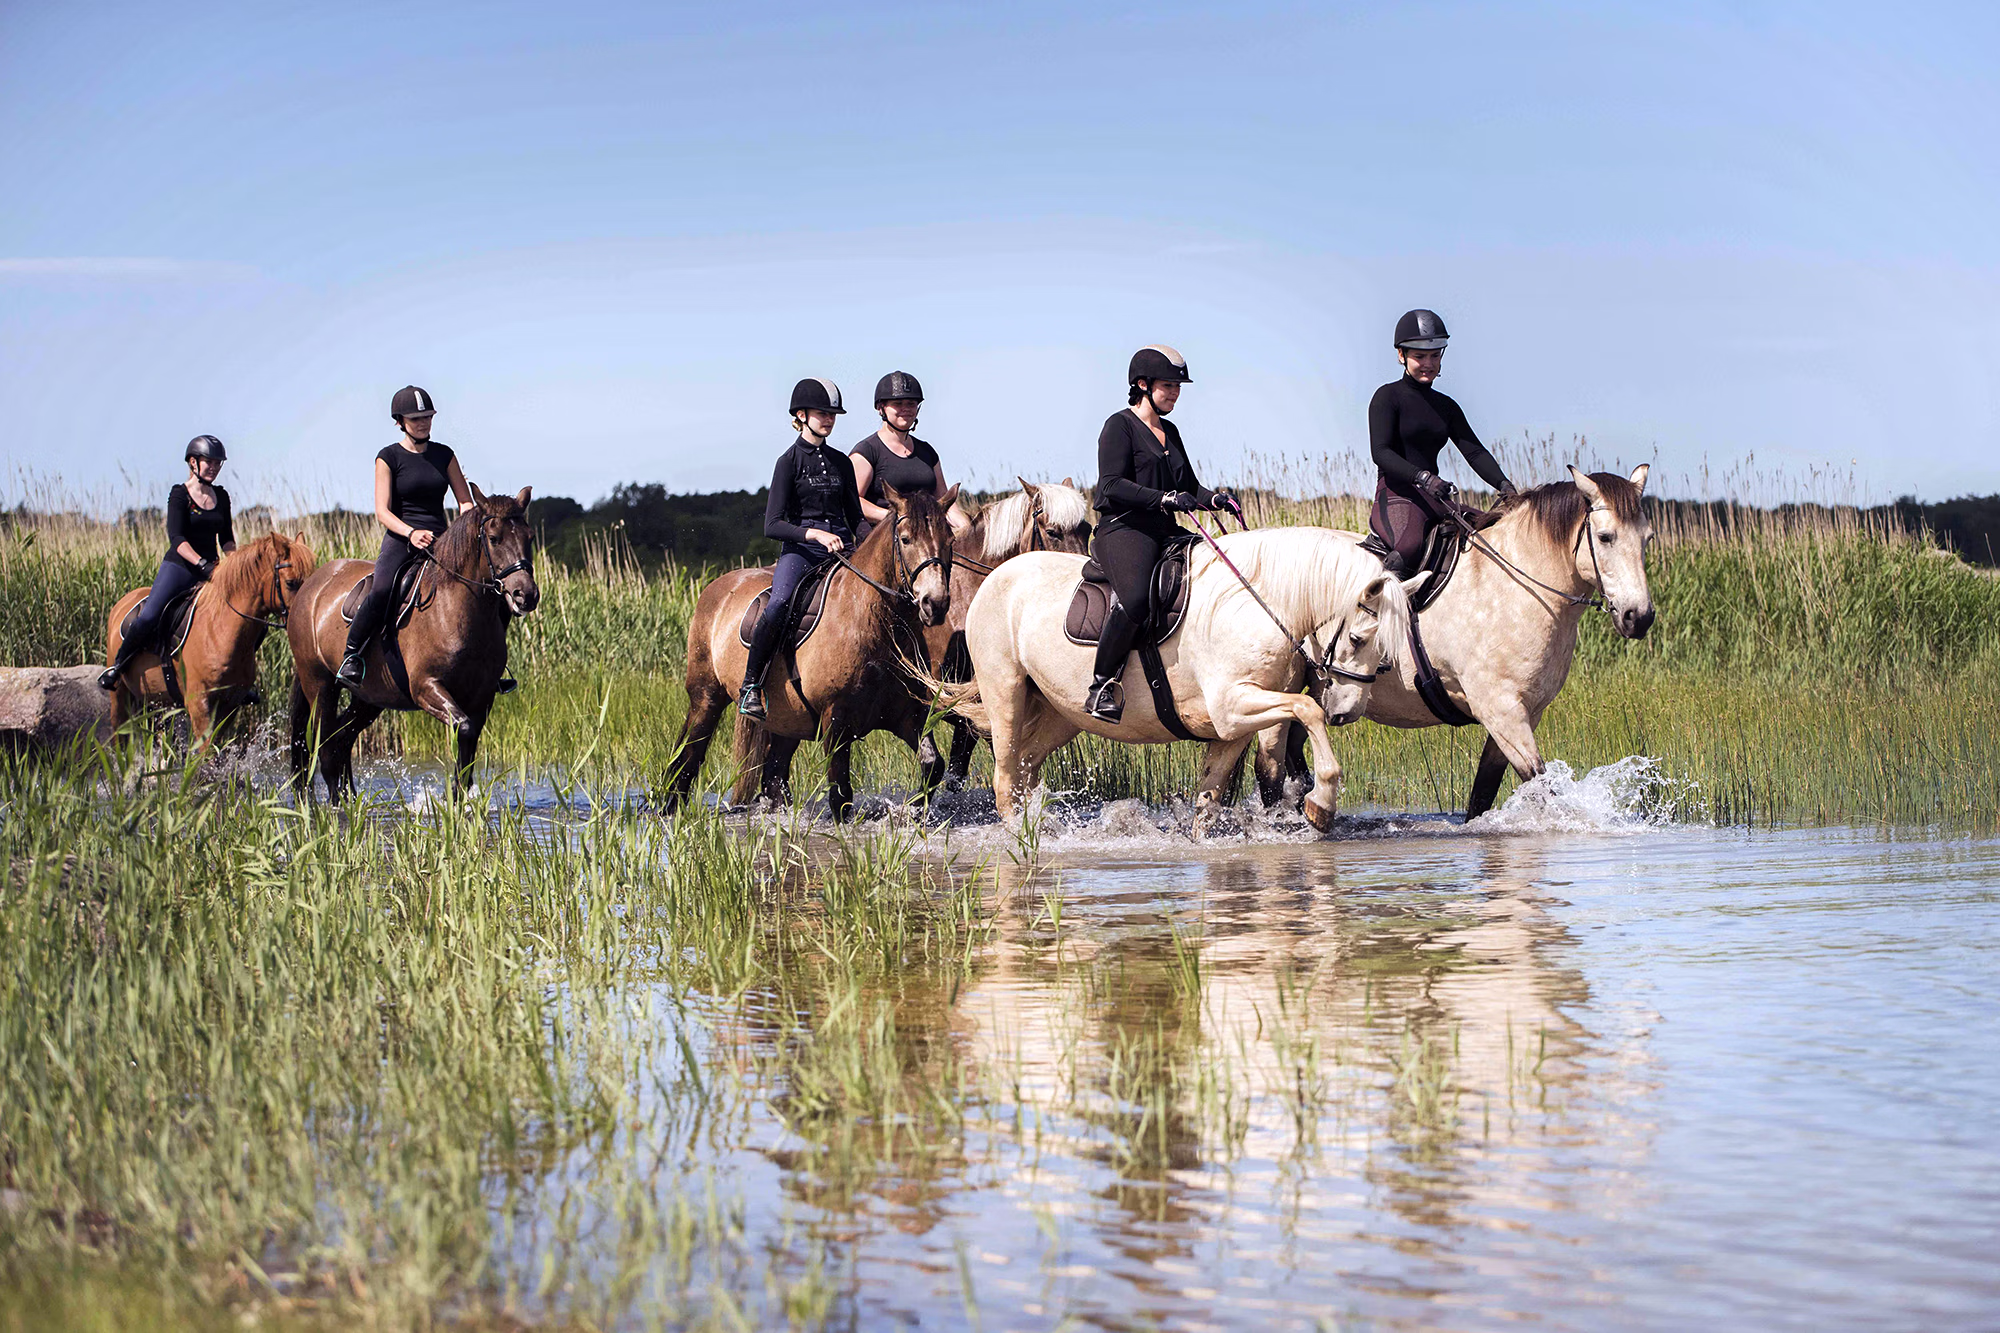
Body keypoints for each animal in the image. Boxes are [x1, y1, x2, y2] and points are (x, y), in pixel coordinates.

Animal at [103, 532, 319, 754]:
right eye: (291, 583)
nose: (306, 618)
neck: (219, 631)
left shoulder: (230, 705)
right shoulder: (199, 704)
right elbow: (206, 753)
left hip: (160, 702)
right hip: (120, 696)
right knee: (119, 735)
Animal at [286, 485, 540, 799]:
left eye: (529, 537)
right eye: (493, 539)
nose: (526, 595)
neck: (456, 611)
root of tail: (312, 584)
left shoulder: (482, 698)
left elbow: (468, 753)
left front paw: (459, 801)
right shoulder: (426, 688)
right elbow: (464, 729)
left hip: (370, 697)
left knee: (341, 740)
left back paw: (351, 802)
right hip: (319, 684)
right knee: (326, 748)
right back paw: (336, 808)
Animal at [662, 484, 957, 820]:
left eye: (950, 540)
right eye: (906, 539)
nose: (935, 604)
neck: (873, 623)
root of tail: (718, 587)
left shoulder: (909, 715)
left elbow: (933, 765)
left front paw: (915, 811)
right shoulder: (836, 721)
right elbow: (840, 795)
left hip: (786, 721)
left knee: (773, 776)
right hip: (706, 698)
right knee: (687, 759)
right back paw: (669, 811)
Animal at [926, 527, 1425, 834]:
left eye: (1386, 655)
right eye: (1358, 639)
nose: (1347, 712)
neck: (1257, 603)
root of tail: (994, 578)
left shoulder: (1232, 724)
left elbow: (1210, 798)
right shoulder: (1233, 706)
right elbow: (1307, 709)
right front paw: (1321, 806)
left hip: (1060, 712)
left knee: (1027, 767)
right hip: (1006, 693)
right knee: (1005, 776)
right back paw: (1023, 839)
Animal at [1254, 466, 1657, 820]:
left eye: (1647, 538)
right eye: (1605, 537)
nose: (1639, 617)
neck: (1515, 587)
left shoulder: (1523, 713)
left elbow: (1482, 794)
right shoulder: (1501, 711)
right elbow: (1541, 787)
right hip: (1283, 687)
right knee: (1269, 767)